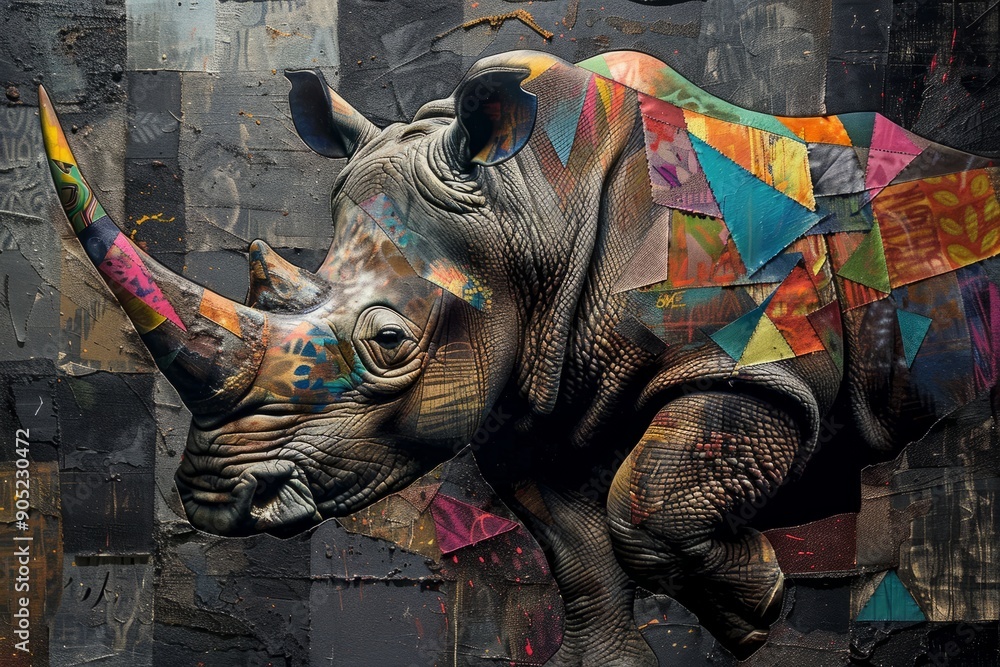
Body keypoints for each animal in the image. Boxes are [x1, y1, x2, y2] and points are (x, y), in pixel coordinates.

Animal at [40, 49, 999, 664]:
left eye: (388, 343)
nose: (211, 496)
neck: (529, 205)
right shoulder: (528, 398)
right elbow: (580, 557)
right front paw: (616, 656)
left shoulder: (750, 362)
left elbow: (648, 502)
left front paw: (756, 607)